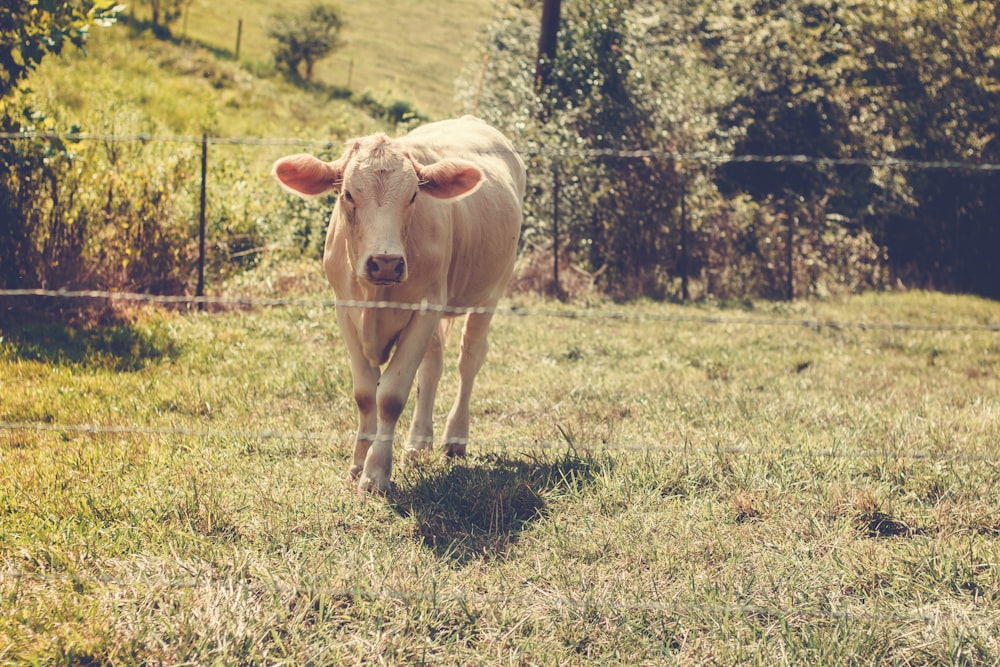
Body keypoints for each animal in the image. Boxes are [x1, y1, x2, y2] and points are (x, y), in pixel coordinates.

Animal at [270, 117, 528, 496]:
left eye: (413, 196)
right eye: (348, 194)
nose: (386, 263)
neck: (374, 299)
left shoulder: (426, 308)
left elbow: (390, 395)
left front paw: (376, 474)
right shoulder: (345, 309)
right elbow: (366, 393)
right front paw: (357, 465)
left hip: (491, 291)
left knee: (469, 359)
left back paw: (454, 439)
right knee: (433, 367)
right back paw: (418, 445)